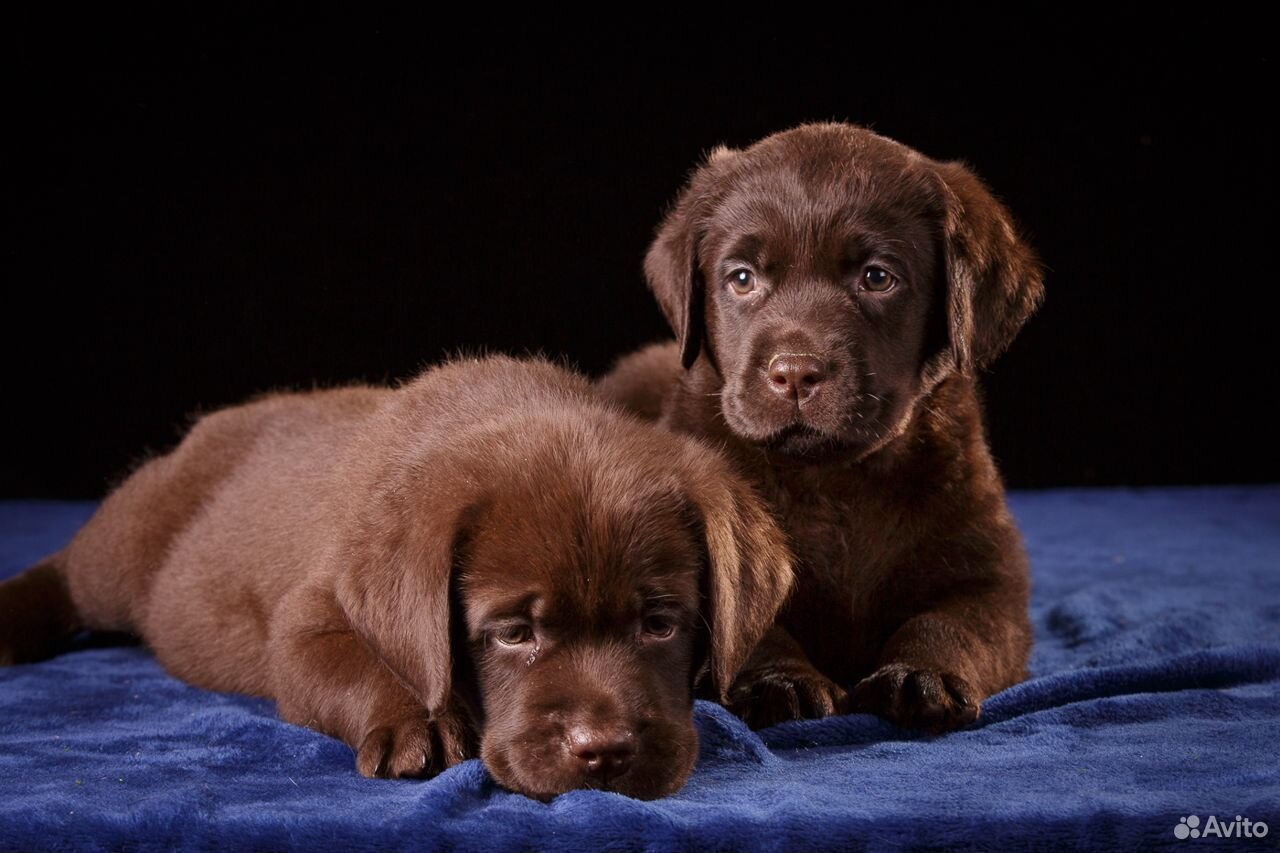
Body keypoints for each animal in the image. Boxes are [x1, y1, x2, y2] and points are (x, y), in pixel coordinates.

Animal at [596, 124, 1039, 732]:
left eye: (877, 277)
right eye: (742, 278)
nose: (795, 372)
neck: (835, 480)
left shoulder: (990, 579)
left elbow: (953, 626)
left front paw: (920, 675)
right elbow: (753, 627)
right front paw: (783, 681)